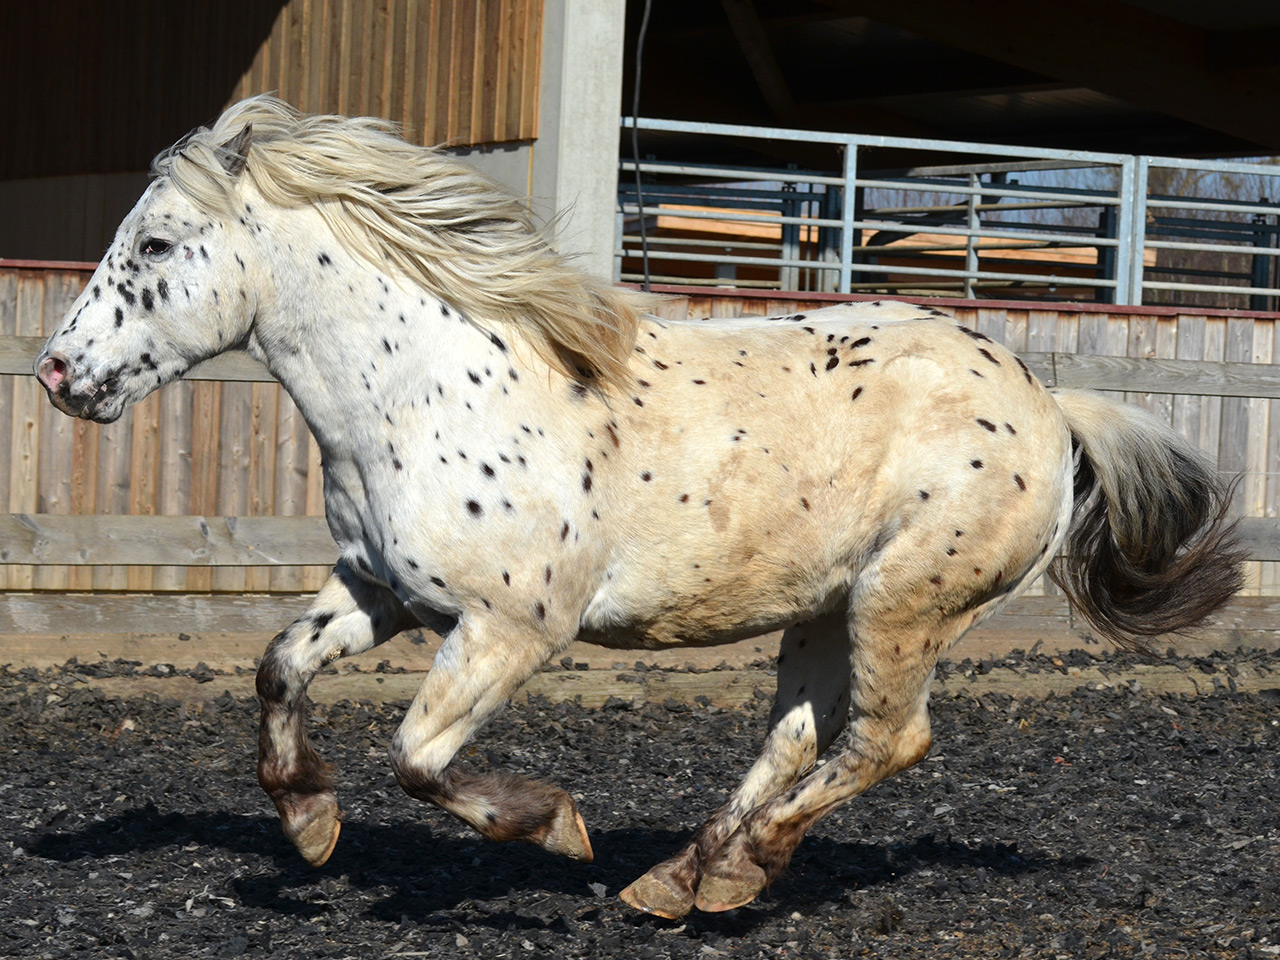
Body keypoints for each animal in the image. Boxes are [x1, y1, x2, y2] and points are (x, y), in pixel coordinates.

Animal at [34, 96, 1243, 919]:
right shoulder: (381, 593)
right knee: (800, 735)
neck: (426, 384)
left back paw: (737, 870)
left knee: (884, 740)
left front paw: (556, 828)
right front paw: (311, 824)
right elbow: (278, 668)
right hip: (825, 610)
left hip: (905, 603)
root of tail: (1047, 403)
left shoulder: (511, 629)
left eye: (154, 245)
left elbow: (417, 757)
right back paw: (681, 877)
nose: (57, 373)